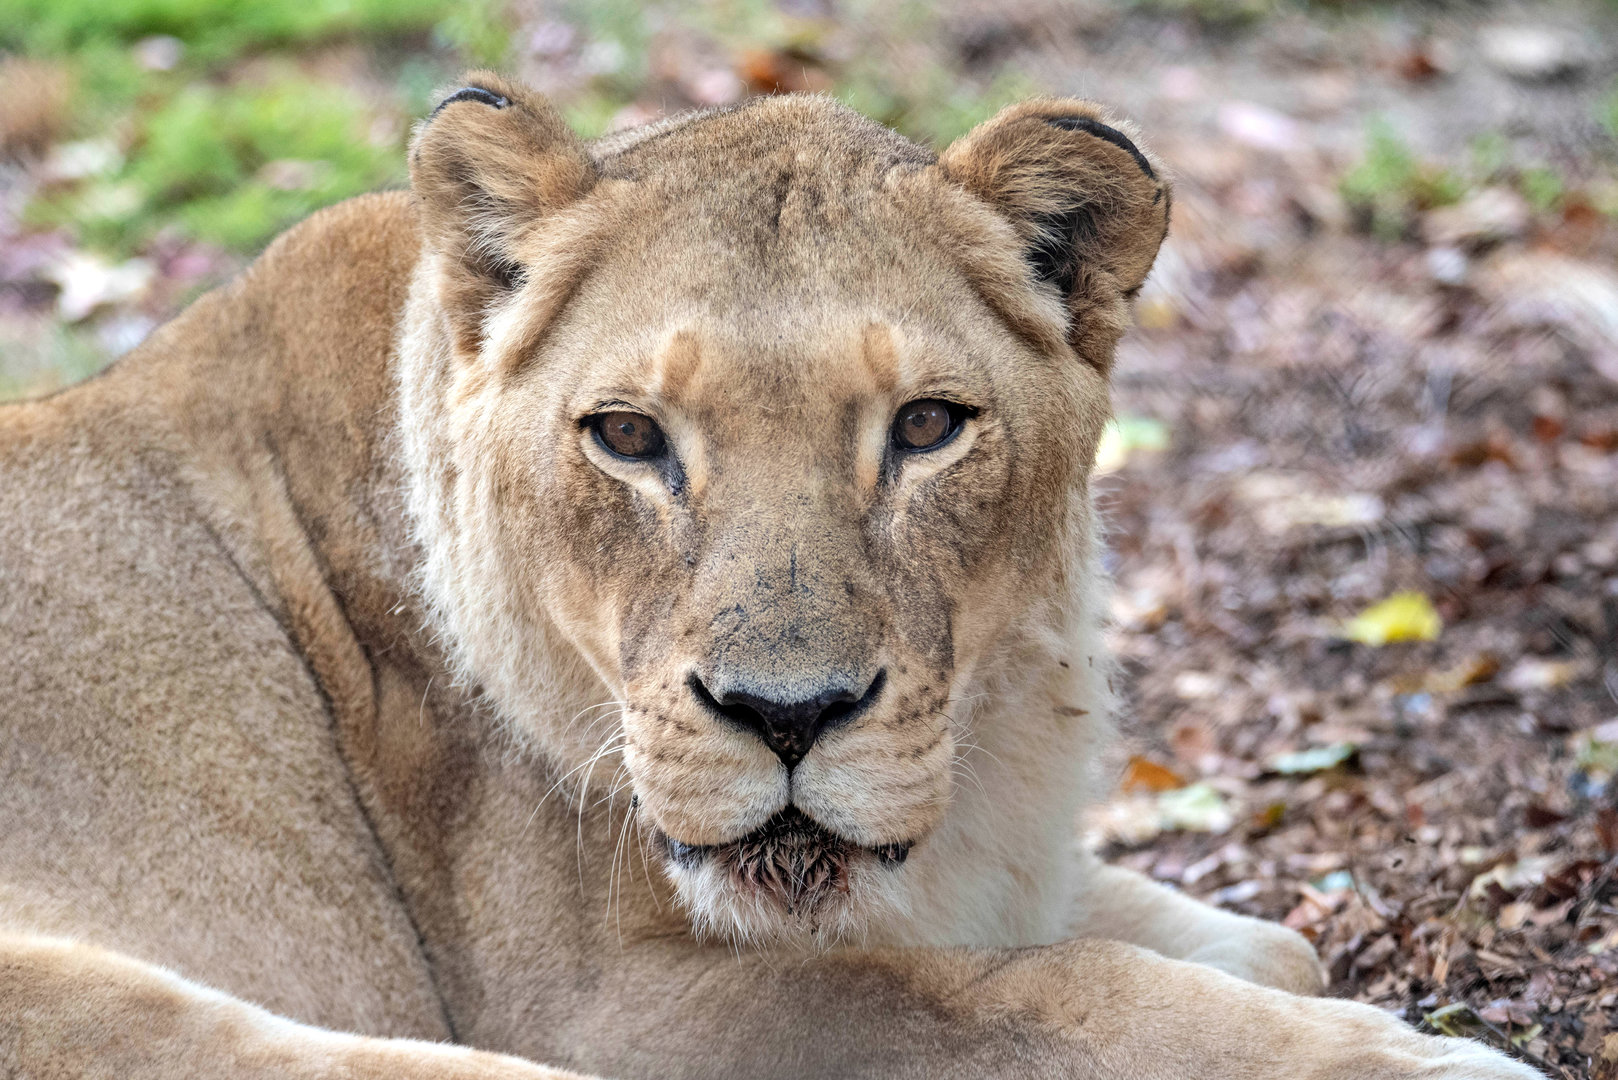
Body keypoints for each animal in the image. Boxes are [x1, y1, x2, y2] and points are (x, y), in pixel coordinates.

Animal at [0, 73, 1533, 1079]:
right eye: (628, 437)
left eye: (926, 426)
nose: (786, 717)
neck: (997, 733)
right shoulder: (601, 1004)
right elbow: (1025, 998)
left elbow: (1224, 945)